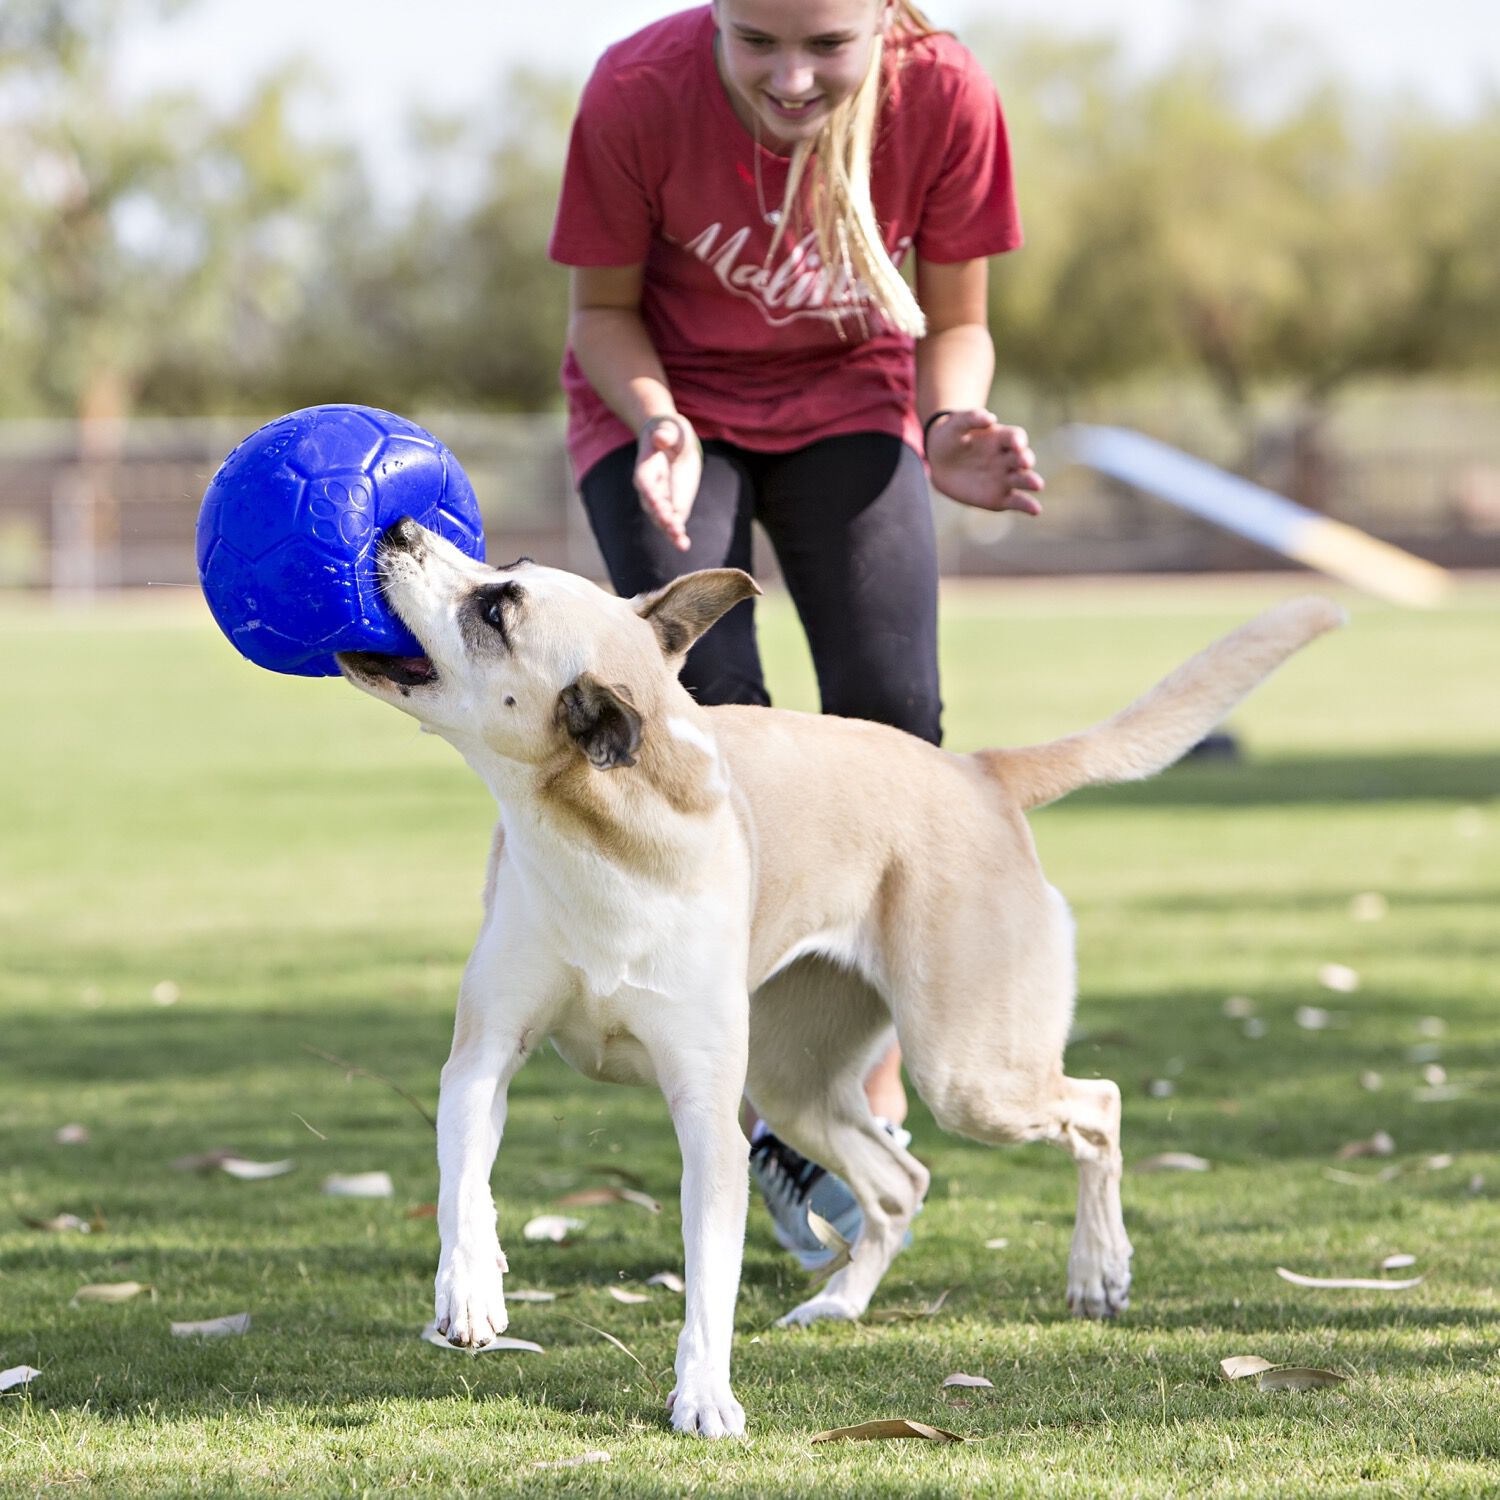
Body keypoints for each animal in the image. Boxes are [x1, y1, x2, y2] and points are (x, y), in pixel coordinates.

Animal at [343, 519, 1350, 1440]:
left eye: (496, 607)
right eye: (504, 567)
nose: (397, 527)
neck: (602, 832)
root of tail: (977, 774)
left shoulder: (708, 1122)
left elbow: (708, 1286)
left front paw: (704, 1398)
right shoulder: (484, 1056)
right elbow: (465, 1180)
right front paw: (472, 1291)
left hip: (965, 1069)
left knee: (1094, 1104)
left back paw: (1096, 1272)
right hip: (796, 1083)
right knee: (901, 1182)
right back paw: (840, 1304)